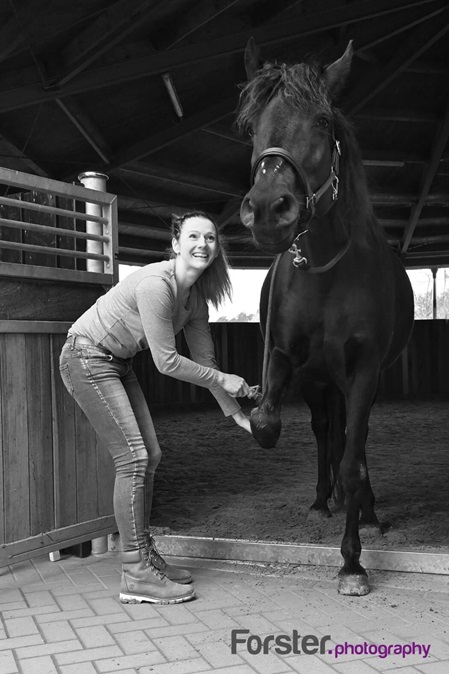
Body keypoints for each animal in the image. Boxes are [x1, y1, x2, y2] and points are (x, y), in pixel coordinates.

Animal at [238, 40, 412, 592]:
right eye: (253, 126)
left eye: (321, 120)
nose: (268, 211)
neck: (325, 272)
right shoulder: (287, 358)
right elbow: (267, 424)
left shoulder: (362, 372)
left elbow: (354, 461)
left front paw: (352, 562)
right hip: (319, 383)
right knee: (325, 433)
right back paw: (322, 499)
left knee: (354, 442)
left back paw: (367, 511)